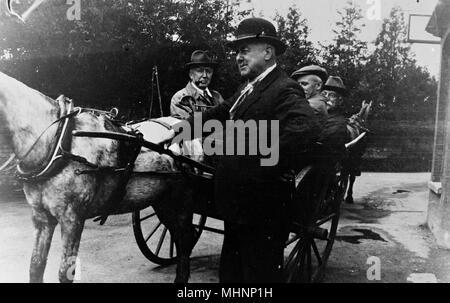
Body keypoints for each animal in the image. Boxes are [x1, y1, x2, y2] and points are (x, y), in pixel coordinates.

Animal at [0, 71, 202, 282]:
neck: (58, 140)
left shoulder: (72, 218)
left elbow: (64, 273)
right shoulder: (41, 218)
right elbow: (36, 266)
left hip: (182, 199)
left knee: (185, 237)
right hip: (162, 200)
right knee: (182, 236)